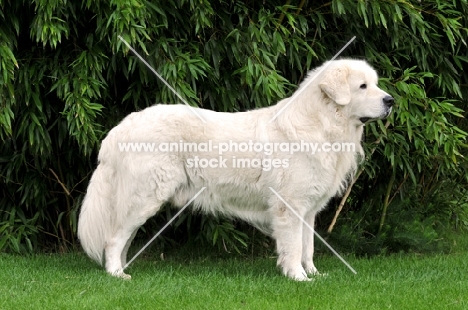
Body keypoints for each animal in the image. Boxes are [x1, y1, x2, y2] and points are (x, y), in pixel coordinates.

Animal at [78, 58, 394, 280]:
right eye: (363, 86)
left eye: (375, 83)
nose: (391, 100)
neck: (323, 122)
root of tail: (122, 127)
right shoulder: (289, 206)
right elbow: (293, 247)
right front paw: (299, 278)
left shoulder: (308, 209)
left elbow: (308, 247)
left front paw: (315, 274)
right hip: (145, 197)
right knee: (114, 239)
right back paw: (117, 275)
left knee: (122, 238)